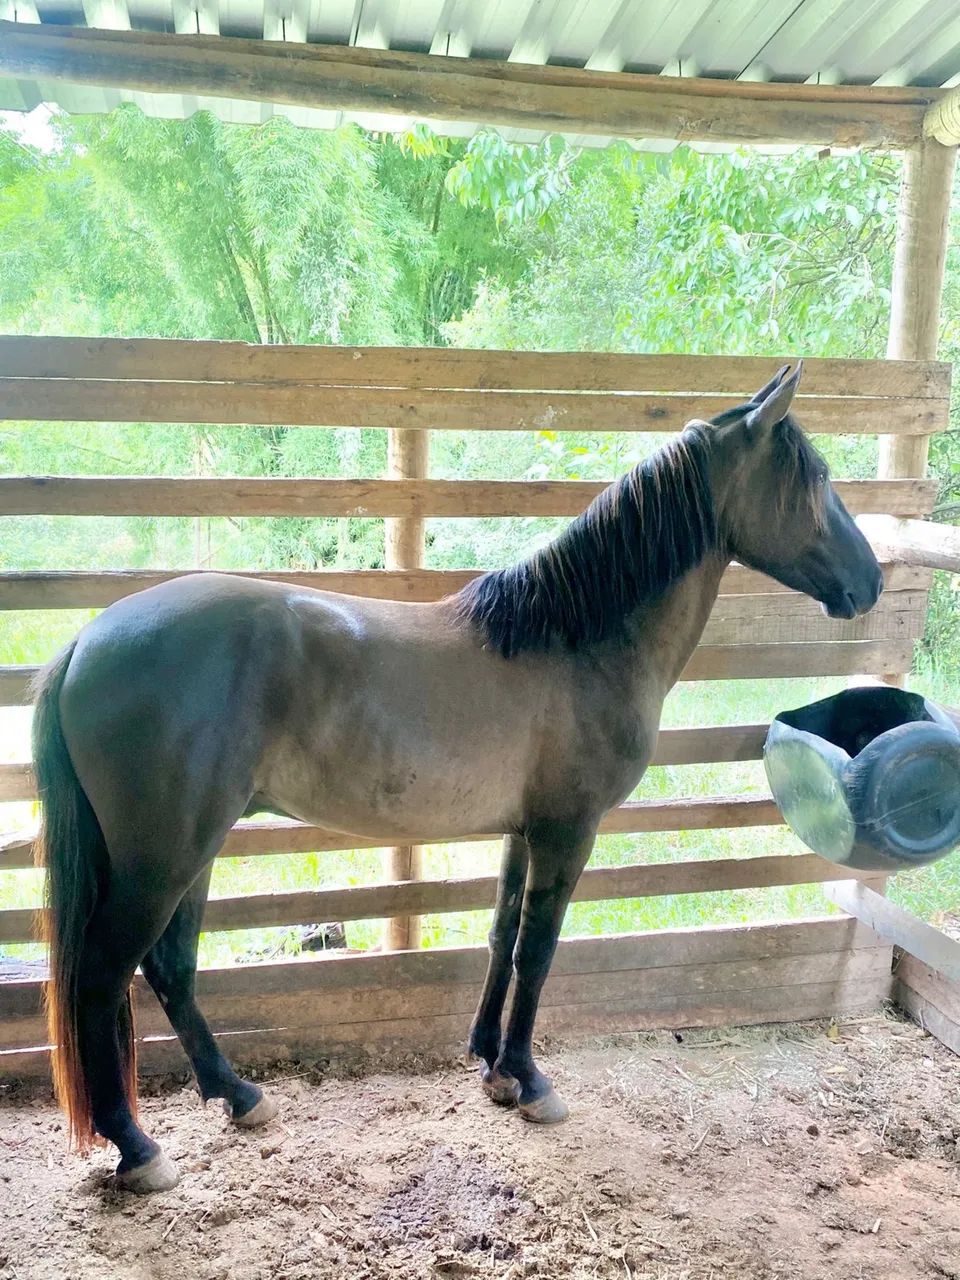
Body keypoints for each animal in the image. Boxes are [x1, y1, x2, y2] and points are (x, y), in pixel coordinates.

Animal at [31, 361, 882, 1193]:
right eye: (816, 476)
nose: (870, 582)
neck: (576, 641)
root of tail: (85, 640)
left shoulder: (523, 831)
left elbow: (502, 937)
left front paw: (491, 1066)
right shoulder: (569, 830)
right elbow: (538, 952)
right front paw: (530, 1081)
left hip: (193, 849)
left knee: (169, 967)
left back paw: (238, 1096)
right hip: (164, 857)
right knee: (101, 978)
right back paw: (137, 1147)